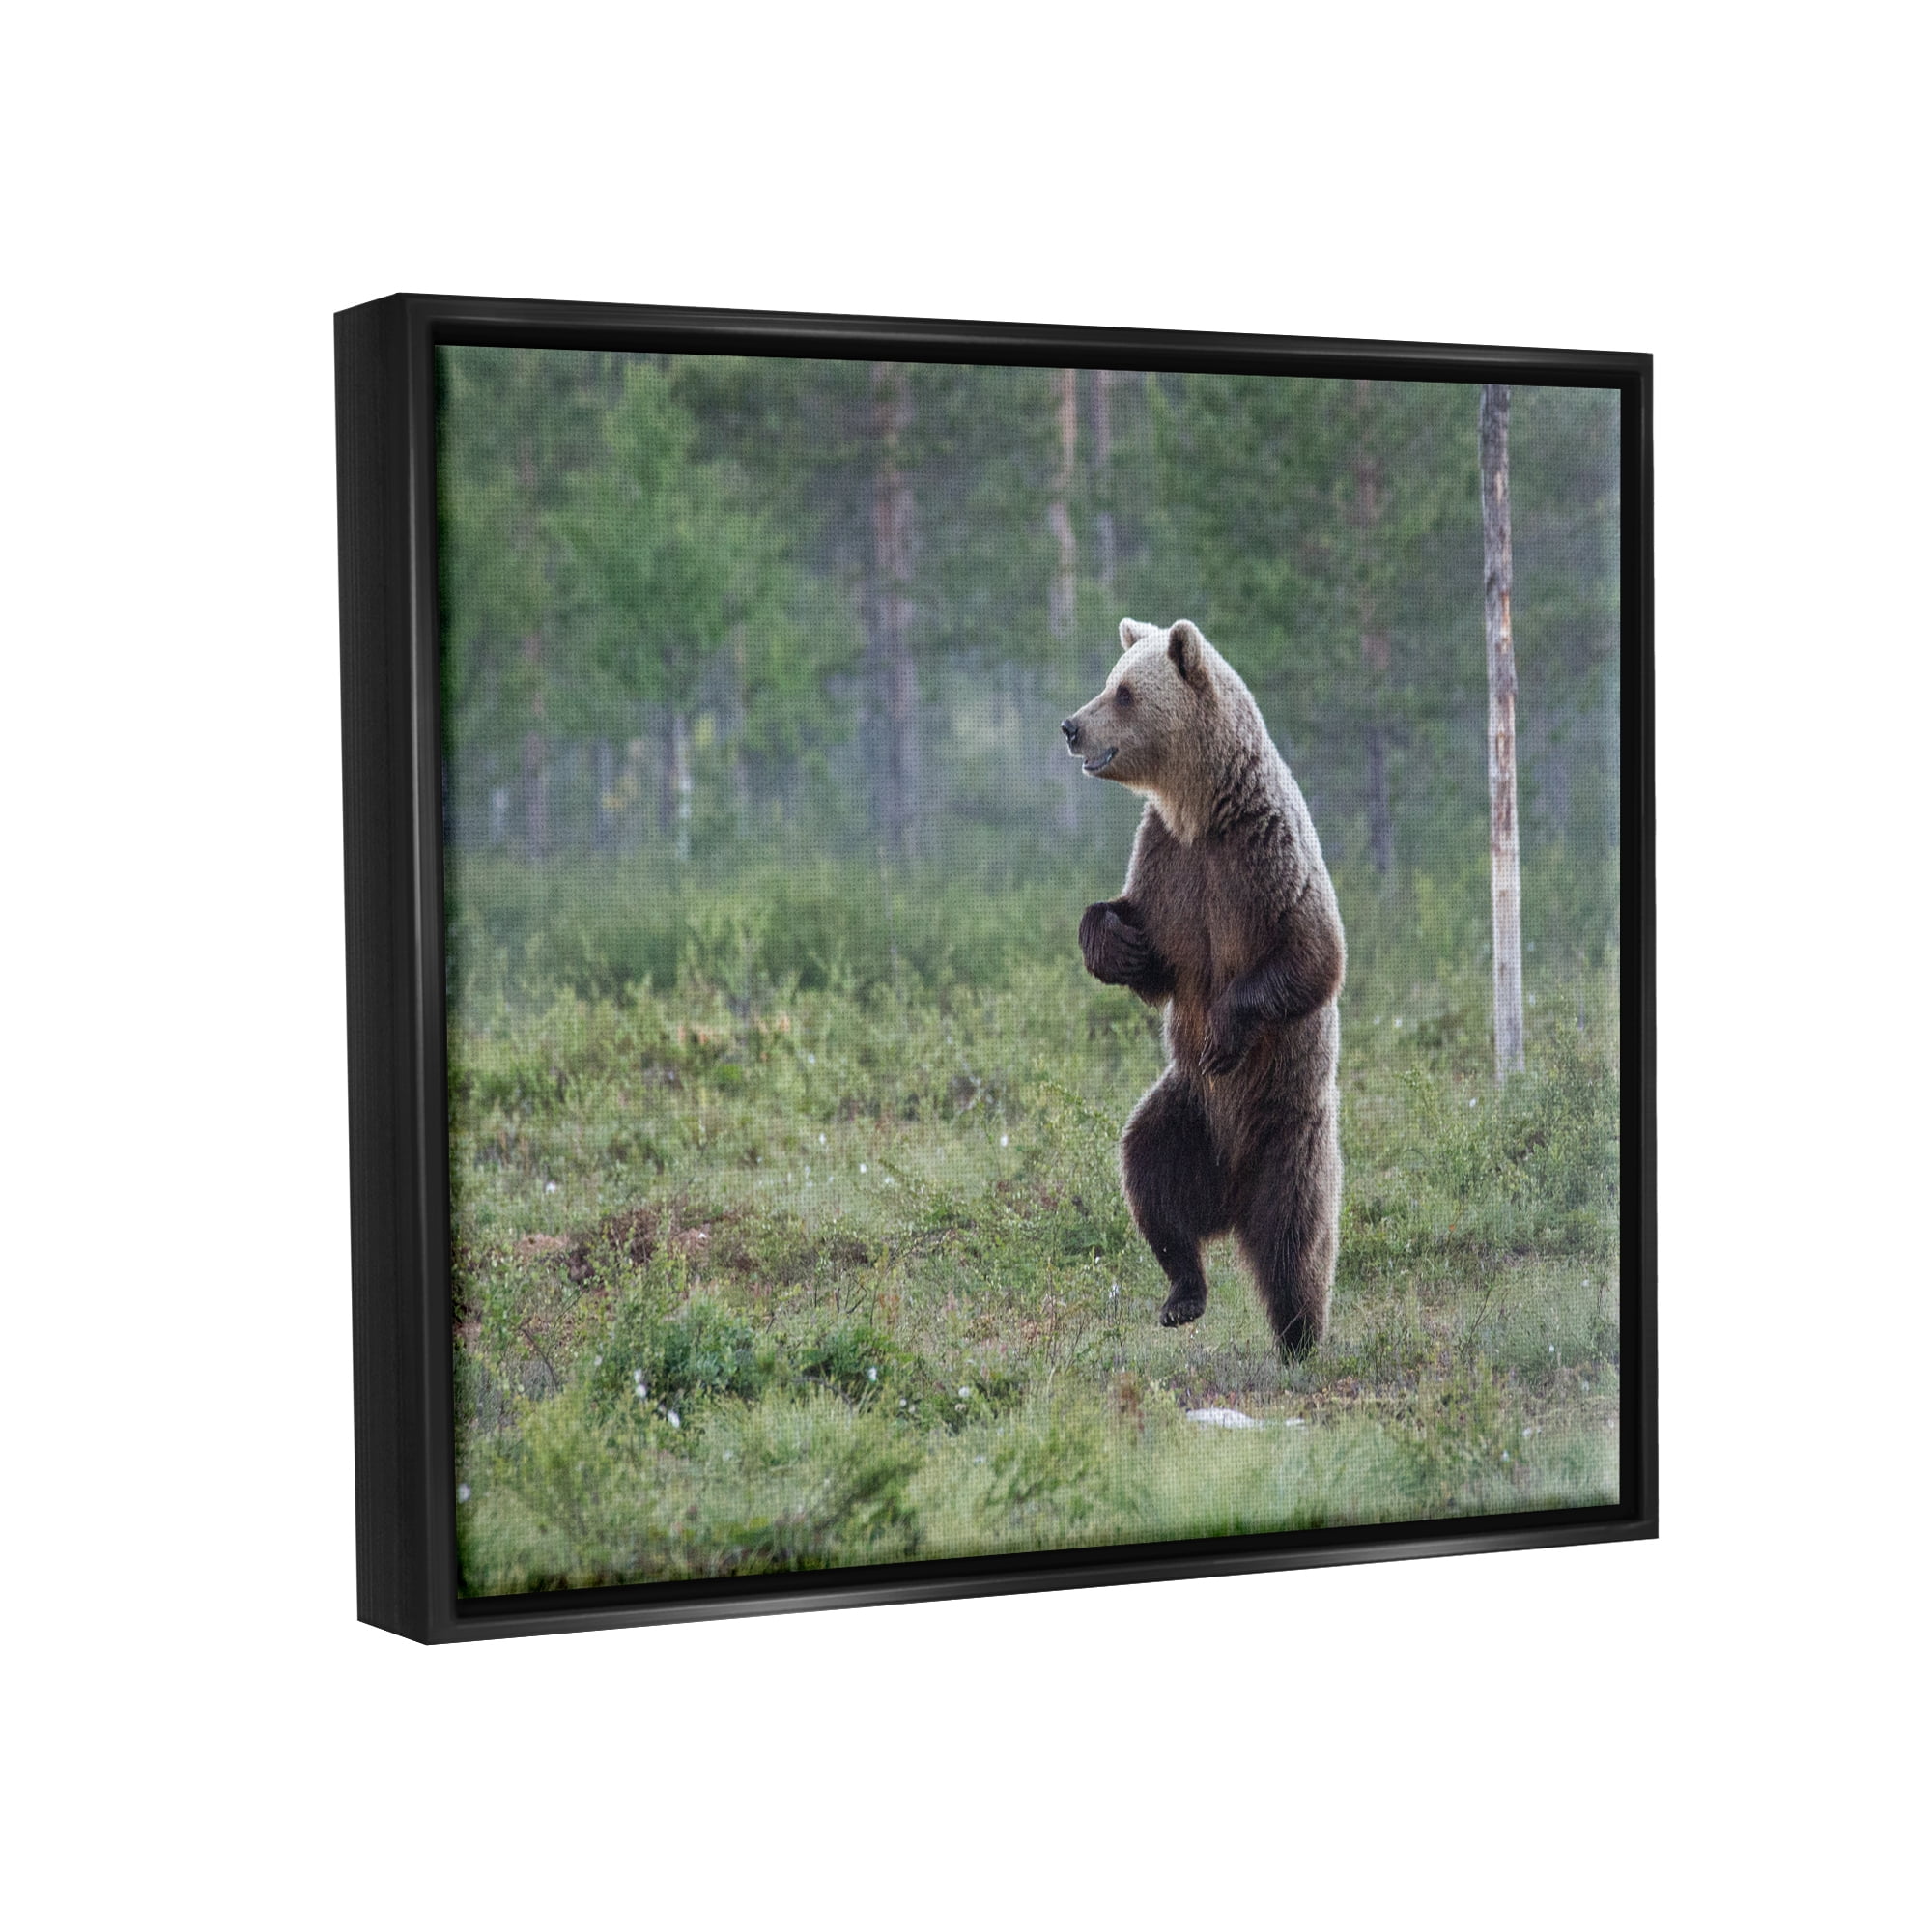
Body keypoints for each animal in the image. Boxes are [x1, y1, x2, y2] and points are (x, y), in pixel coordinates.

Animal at [1060, 618, 1345, 1356]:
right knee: (1148, 1176)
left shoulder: (1263, 857)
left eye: (1124, 692)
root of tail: (1231, 1200)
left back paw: (1299, 1337)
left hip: (1289, 1132)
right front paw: (1114, 941)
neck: (1202, 810)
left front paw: (1223, 1030)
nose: (1070, 726)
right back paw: (1182, 1294)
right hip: (1186, 1113)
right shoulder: (1169, 863)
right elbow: (1154, 953)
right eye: (1111, 679)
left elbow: (1312, 956)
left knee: (1295, 1241)